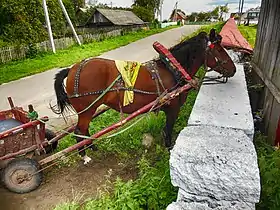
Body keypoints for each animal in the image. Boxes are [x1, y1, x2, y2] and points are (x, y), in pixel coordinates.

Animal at [50, 28, 236, 162]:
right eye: (219, 49)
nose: (233, 69)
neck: (173, 69)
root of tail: (72, 69)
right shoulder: (173, 109)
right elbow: (168, 131)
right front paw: (169, 149)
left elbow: (165, 131)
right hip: (87, 109)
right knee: (79, 130)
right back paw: (85, 155)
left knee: (84, 130)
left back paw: (92, 147)